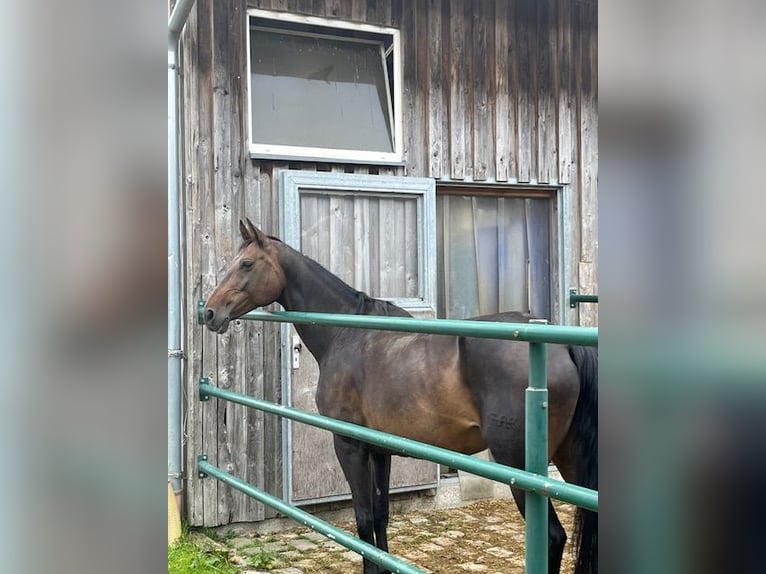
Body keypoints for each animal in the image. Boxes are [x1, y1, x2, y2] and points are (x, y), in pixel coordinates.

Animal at [204, 220, 600, 574]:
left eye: (247, 264)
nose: (209, 312)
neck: (348, 334)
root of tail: (563, 346)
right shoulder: (381, 450)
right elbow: (381, 516)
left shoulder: (349, 445)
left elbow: (364, 519)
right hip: (569, 460)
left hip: (520, 467)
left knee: (552, 537)